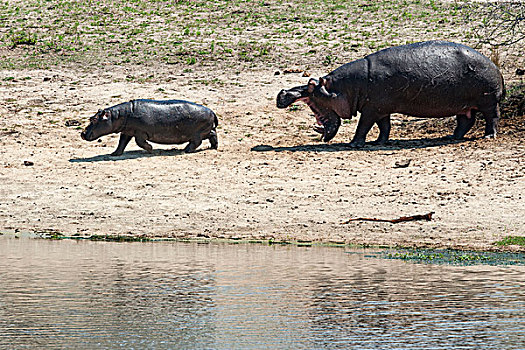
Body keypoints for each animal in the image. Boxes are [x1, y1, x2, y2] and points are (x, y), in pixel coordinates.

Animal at [79, 98, 217, 154]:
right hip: (205, 130)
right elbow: (121, 142)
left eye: (94, 119)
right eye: (90, 118)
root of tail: (212, 111)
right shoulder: (127, 131)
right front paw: (114, 154)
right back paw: (213, 147)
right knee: (213, 134)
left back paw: (186, 150)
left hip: (197, 133)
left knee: (197, 142)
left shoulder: (140, 132)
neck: (118, 116)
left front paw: (150, 149)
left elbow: (139, 142)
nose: (82, 133)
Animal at [276, 40, 506, 147]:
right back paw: (452, 137)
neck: (343, 88)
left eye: (311, 85)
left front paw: (354, 144)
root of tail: (495, 67)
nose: (283, 92)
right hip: (464, 105)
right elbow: (384, 126)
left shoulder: (371, 109)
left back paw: (489, 135)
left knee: (492, 117)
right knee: (465, 120)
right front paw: (379, 142)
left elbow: (363, 126)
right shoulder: (380, 108)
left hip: (488, 101)